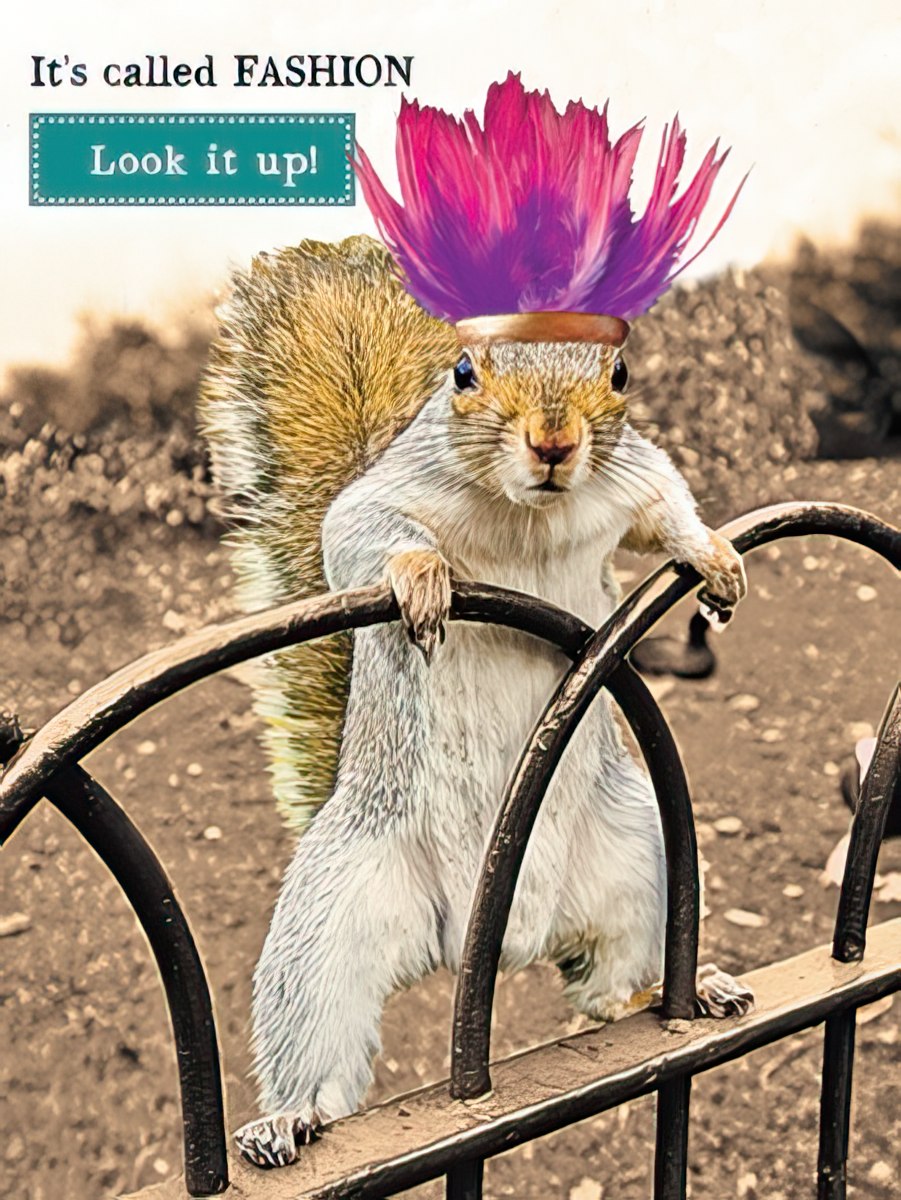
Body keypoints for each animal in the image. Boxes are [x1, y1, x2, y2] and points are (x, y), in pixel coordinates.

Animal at [200, 233, 753, 1169]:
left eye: (619, 374)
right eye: (463, 372)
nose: (553, 441)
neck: (528, 512)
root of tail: (487, 939)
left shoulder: (632, 480)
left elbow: (665, 510)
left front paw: (712, 553)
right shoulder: (380, 501)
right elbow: (361, 537)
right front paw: (420, 576)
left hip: (638, 861)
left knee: (601, 991)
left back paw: (675, 991)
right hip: (332, 922)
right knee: (318, 1051)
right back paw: (287, 1119)